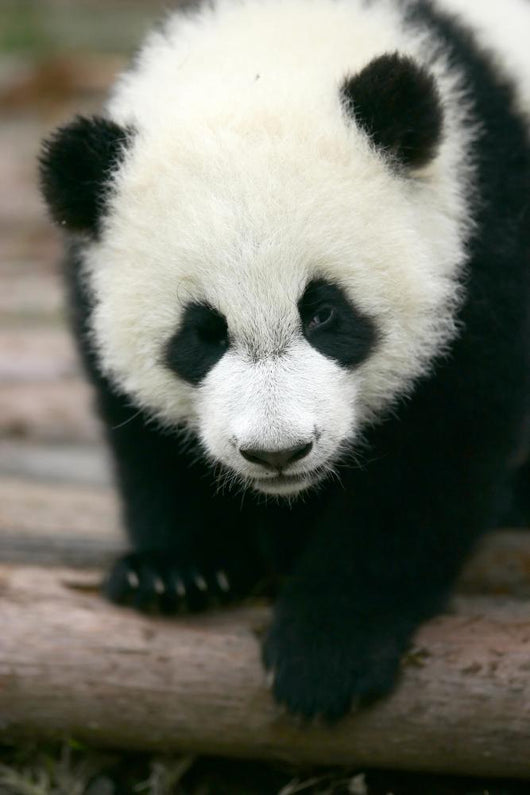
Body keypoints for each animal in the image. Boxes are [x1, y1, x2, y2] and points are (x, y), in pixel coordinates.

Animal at [39, 0, 530, 721]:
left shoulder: (482, 234)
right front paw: (179, 569)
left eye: (323, 313)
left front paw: (329, 646)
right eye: (203, 334)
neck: (271, 48)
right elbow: (144, 432)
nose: (277, 452)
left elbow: (435, 455)